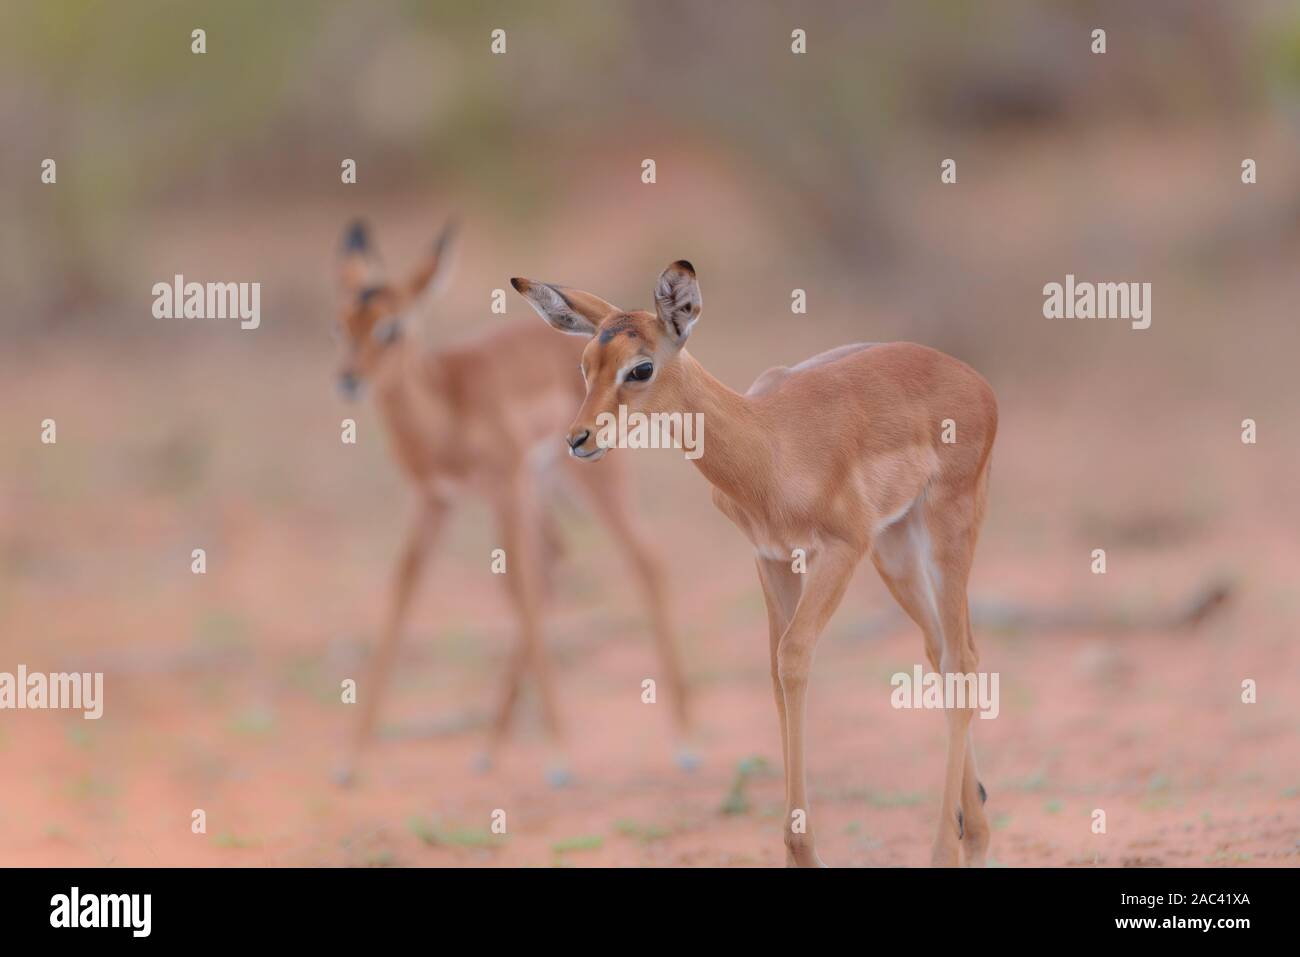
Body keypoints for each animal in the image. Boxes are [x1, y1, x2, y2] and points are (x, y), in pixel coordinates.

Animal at [332, 222, 691, 785]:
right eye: (342, 322)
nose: (349, 379)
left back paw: (683, 741)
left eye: (391, 327)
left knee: (643, 561)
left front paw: (560, 756)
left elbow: (518, 591)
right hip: (545, 488)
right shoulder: (434, 501)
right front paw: (350, 759)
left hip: (585, 479)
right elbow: (403, 593)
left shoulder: (503, 488)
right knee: (554, 565)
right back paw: (489, 746)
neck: (447, 401)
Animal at [512, 261, 998, 868]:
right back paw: (975, 830)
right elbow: (774, 670)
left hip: (947, 527)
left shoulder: (841, 549)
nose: (579, 439)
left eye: (640, 367)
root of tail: (977, 383)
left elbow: (793, 659)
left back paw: (949, 847)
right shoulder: (772, 559)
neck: (770, 442)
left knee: (963, 657)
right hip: (896, 548)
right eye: (585, 363)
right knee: (940, 652)